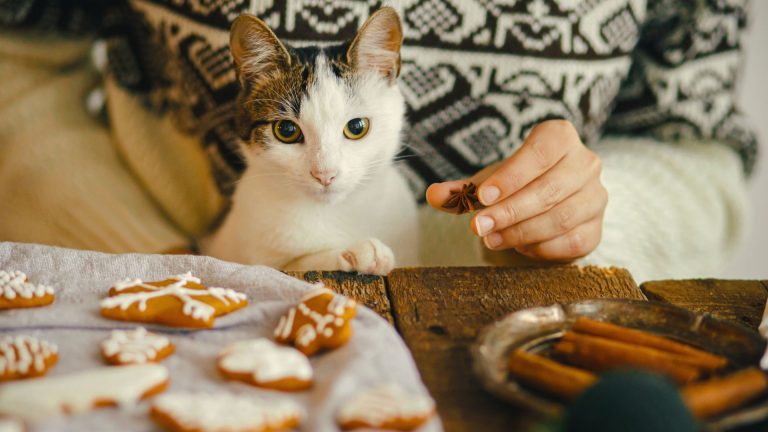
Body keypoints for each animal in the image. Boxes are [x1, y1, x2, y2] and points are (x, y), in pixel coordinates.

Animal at [201, 7, 416, 276]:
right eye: (286, 130)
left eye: (357, 127)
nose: (325, 174)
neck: (333, 211)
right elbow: (294, 265)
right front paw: (358, 251)